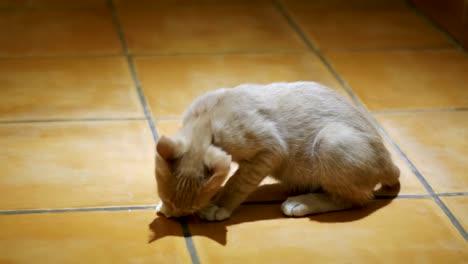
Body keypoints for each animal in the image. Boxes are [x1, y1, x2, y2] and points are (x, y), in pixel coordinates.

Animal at [155, 82, 400, 221]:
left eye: (192, 207)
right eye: (167, 199)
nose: (177, 216)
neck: (208, 118)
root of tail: (388, 160)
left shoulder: (270, 149)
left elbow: (237, 182)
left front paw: (219, 205)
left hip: (331, 140)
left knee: (355, 199)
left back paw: (302, 202)